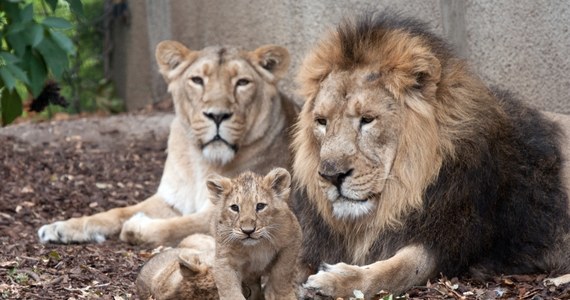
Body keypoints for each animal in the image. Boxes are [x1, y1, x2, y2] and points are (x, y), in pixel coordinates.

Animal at [37, 40, 296, 246]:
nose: (217, 115)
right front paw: (62, 227)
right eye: (197, 80)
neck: (202, 162)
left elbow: (178, 226)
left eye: (242, 82)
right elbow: (117, 212)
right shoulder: (171, 199)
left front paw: (137, 226)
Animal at [292, 12, 568, 298]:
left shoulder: (449, 241)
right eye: (321, 122)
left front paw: (334, 281)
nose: (331, 176)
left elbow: (397, 269)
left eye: (367, 119)